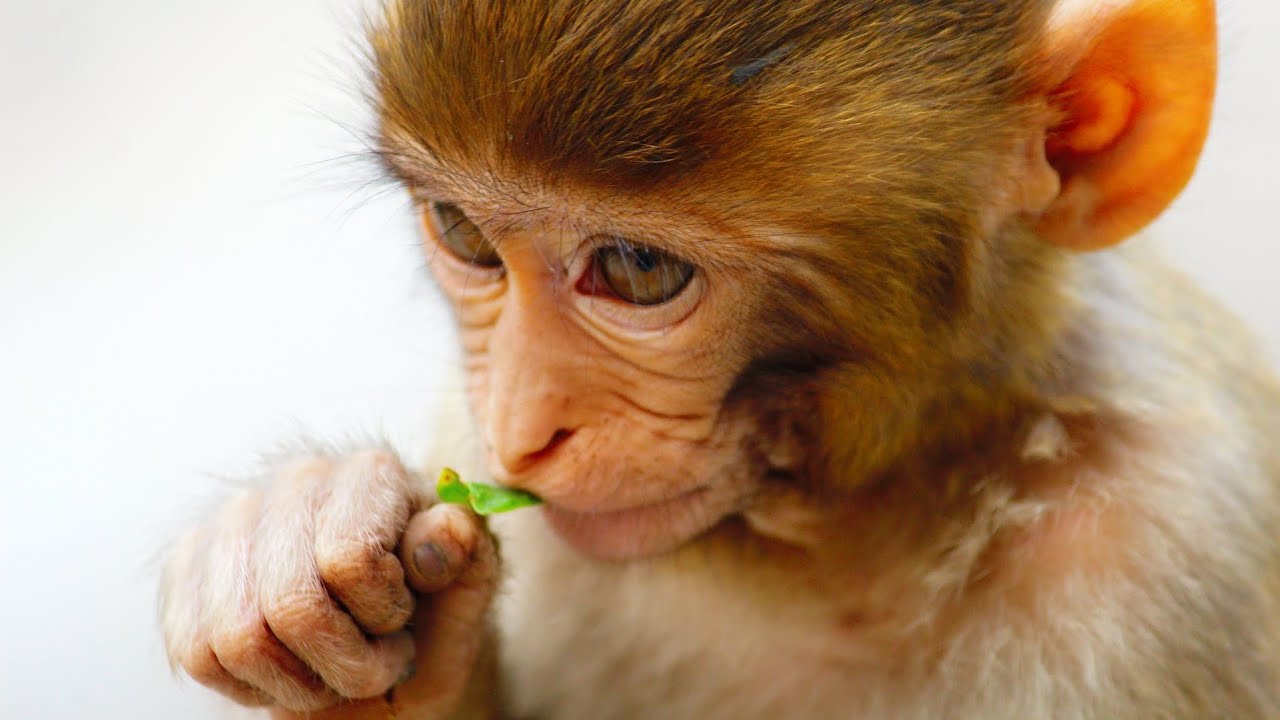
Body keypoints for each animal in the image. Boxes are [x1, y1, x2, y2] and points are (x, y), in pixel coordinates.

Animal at [159, 0, 1280, 718]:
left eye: (637, 269)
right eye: (463, 232)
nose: (517, 430)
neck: (839, 538)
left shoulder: (1163, 562)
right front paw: (296, 534)